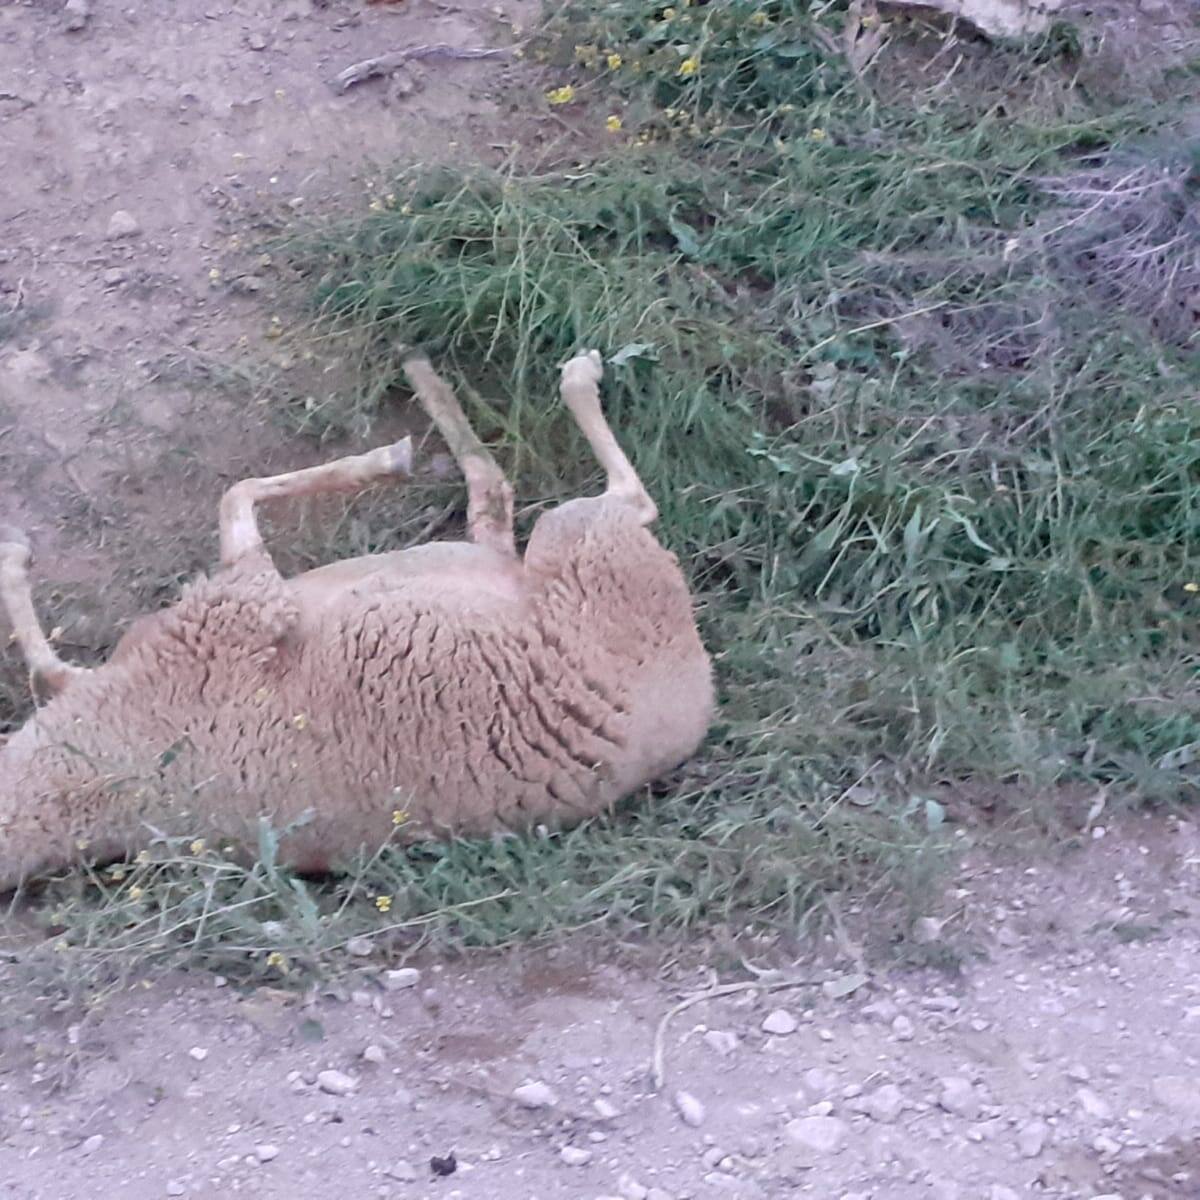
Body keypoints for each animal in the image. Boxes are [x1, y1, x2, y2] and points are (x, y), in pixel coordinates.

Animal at [0, 351, 715, 890]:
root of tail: (701, 684)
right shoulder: (240, 607)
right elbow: (236, 497)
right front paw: (387, 461)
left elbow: (46, 658)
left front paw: (12, 551)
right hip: (584, 542)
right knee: (615, 500)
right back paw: (562, 376)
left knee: (494, 505)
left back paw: (434, 385)